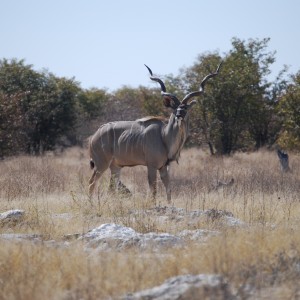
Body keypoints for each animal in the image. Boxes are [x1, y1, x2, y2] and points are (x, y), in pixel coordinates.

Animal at [88, 63, 221, 204]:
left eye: (185, 108)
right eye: (174, 108)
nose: (179, 114)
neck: (164, 136)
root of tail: (93, 137)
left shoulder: (163, 167)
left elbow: (168, 189)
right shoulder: (151, 166)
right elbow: (154, 190)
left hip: (116, 166)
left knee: (111, 188)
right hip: (101, 164)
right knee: (92, 183)